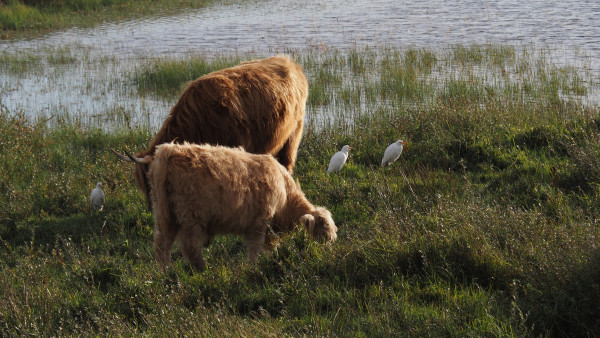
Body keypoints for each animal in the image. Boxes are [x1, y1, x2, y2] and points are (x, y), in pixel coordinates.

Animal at [125, 141, 338, 270]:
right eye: (322, 235)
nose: (324, 256)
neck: (285, 198)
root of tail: (166, 152)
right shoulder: (258, 223)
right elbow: (254, 249)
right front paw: (254, 267)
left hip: (164, 213)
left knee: (162, 243)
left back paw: (166, 271)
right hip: (191, 216)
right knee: (189, 246)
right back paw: (202, 269)